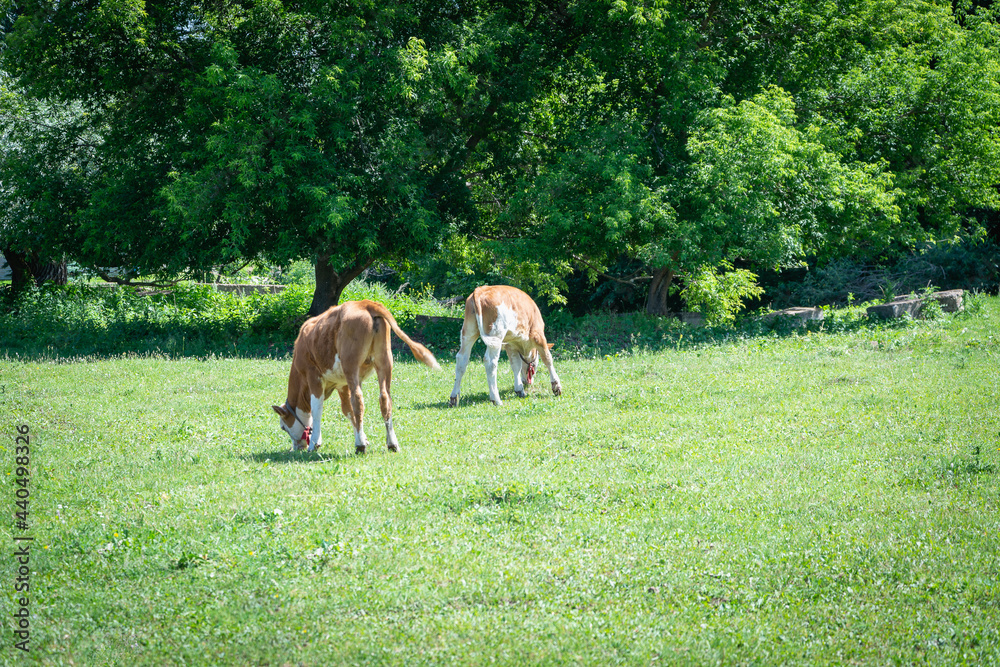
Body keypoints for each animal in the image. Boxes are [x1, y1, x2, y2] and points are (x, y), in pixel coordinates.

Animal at [272, 300, 440, 454]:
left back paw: (360, 446)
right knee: (385, 398)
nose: (296, 448)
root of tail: (365, 303)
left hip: (351, 364)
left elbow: (317, 409)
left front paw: (315, 443)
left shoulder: (313, 375)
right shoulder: (342, 384)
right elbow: (348, 410)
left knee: (358, 399)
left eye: (283, 427)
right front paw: (364, 437)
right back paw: (392, 443)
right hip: (384, 360)